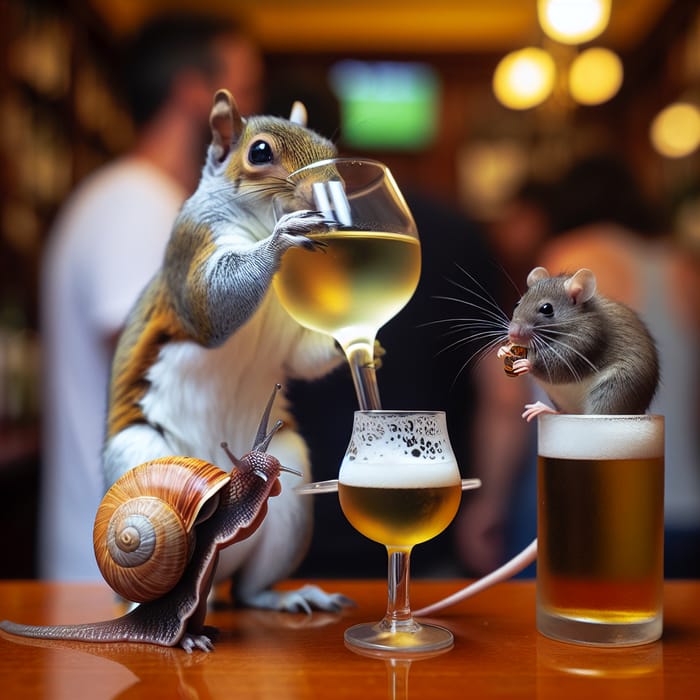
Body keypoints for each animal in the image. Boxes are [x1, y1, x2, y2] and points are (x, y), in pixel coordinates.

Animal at [99, 89, 350, 612]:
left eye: (328, 146)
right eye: (260, 152)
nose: (329, 189)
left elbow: (305, 359)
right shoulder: (193, 243)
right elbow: (212, 301)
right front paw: (281, 240)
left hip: (288, 496)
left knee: (252, 589)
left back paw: (289, 598)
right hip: (137, 454)